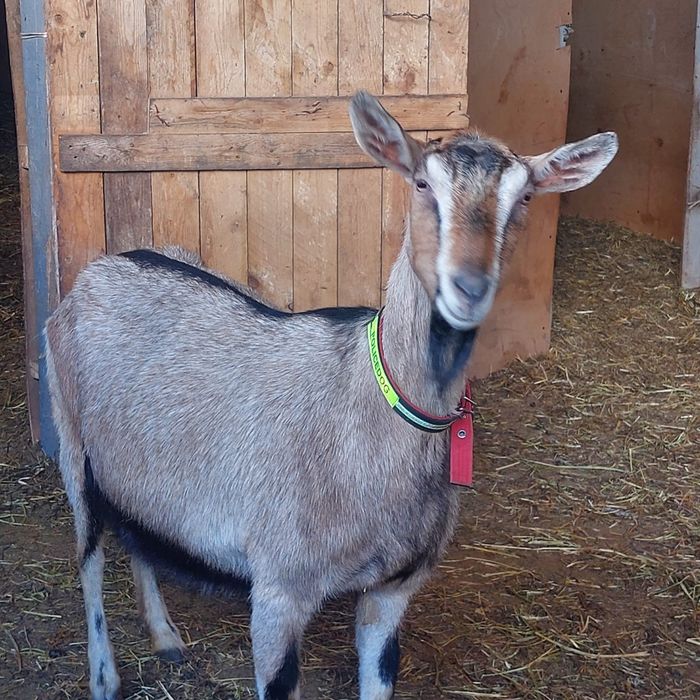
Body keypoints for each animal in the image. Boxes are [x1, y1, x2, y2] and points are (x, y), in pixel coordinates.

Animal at [45, 91, 617, 700]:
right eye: (422, 183)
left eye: (525, 196)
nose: (468, 288)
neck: (373, 403)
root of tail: (103, 266)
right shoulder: (279, 588)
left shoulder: (392, 590)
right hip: (72, 443)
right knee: (89, 556)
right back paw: (104, 676)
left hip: (133, 468)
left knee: (137, 533)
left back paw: (164, 636)